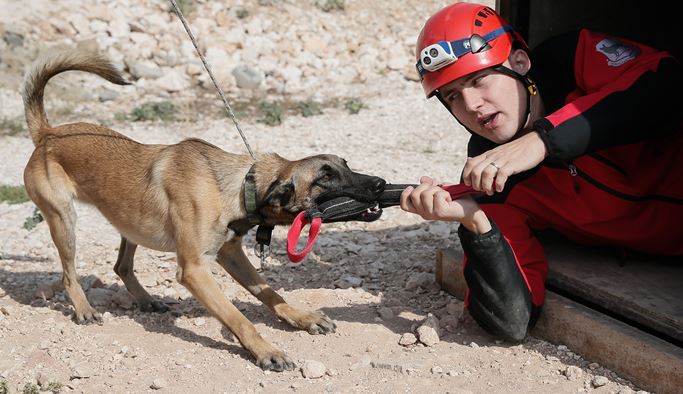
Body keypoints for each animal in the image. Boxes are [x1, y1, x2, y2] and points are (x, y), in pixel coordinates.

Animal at [21, 50, 388, 372]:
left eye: (345, 164)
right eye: (325, 177)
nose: (381, 183)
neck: (238, 187)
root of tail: (48, 133)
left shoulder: (231, 254)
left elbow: (270, 292)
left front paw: (301, 316)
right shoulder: (195, 270)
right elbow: (237, 316)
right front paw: (266, 351)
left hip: (131, 225)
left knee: (121, 266)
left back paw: (145, 300)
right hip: (63, 220)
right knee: (69, 274)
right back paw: (84, 309)